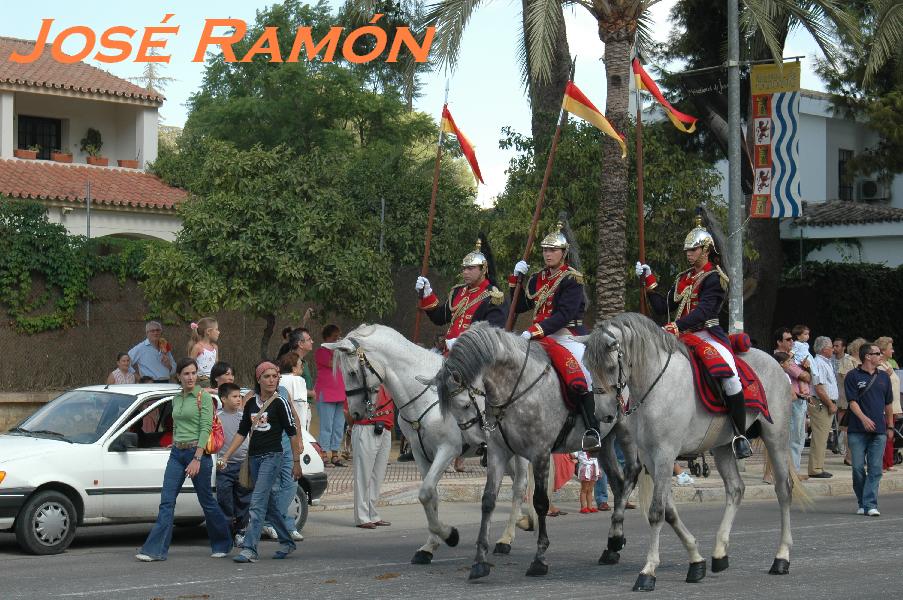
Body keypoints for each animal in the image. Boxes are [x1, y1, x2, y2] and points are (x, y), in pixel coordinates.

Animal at [324, 324, 536, 564]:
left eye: (351, 373)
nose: (355, 413)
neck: (422, 395)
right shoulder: (419, 452)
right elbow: (430, 496)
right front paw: (430, 546)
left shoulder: (448, 450)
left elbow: (425, 493)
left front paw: (450, 535)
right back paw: (524, 520)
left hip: (517, 450)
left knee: (519, 486)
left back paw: (506, 538)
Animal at [434, 324, 632, 580]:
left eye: (465, 404)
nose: (472, 441)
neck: (516, 386)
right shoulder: (498, 452)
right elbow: (488, 501)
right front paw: (480, 561)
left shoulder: (540, 454)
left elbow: (540, 502)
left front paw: (539, 559)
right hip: (604, 444)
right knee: (618, 484)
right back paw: (613, 546)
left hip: (625, 434)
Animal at [584, 312, 808, 592]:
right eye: (588, 367)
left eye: (611, 367)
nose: (603, 416)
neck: (655, 384)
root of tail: (775, 362)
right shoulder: (650, 458)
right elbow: (669, 512)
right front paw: (696, 561)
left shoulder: (665, 455)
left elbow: (656, 512)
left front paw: (648, 572)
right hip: (722, 446)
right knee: (736, 488)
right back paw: (720, 554)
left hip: (775, 436)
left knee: (783, 490)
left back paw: (781, 558)